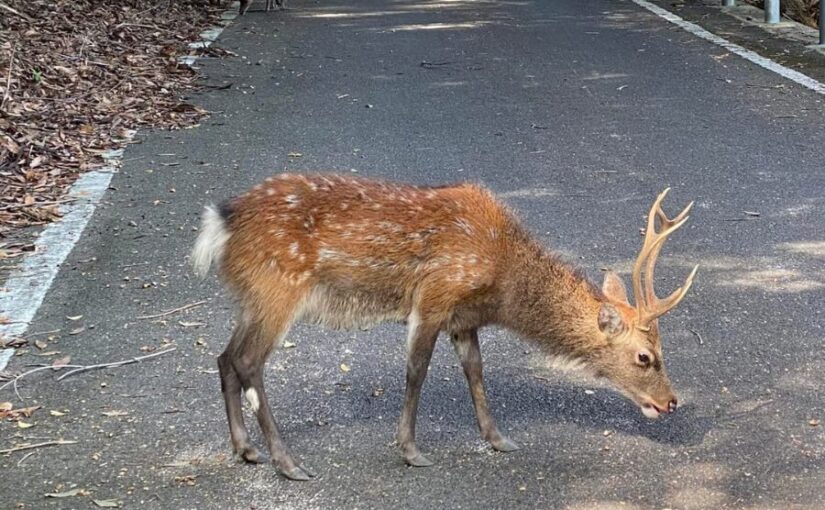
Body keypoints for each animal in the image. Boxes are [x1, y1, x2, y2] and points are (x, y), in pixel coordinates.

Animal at [191, 173, 698, 481]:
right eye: (645, 357)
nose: (671, 402)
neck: (501, 283)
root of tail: (221, 224)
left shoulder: (462, 319)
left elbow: (475, 370)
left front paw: (498, 439)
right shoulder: (434, 295)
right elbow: (416, 372)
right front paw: (411, 450)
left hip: (252, 297)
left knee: (224, 356)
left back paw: (245, 449)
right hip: (279, 288)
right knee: (248, 361)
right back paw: (287, 462)